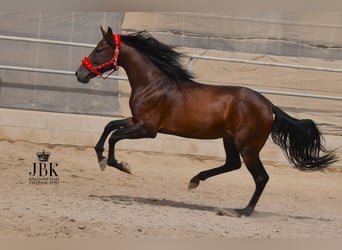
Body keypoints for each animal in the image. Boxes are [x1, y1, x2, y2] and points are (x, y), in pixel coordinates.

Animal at [75, 26, 336, 216]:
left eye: (99, 49)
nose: (79, 74)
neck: (153, 83)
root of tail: (269, 106)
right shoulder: (135, 120)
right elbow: (109, 127)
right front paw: (101, 158)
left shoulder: (147, 129)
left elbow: (115, 136)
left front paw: (120, 165)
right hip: (230, 140)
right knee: (232, 164)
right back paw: (195, 180)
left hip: (248, 147)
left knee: (261, 177)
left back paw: (242, 211)